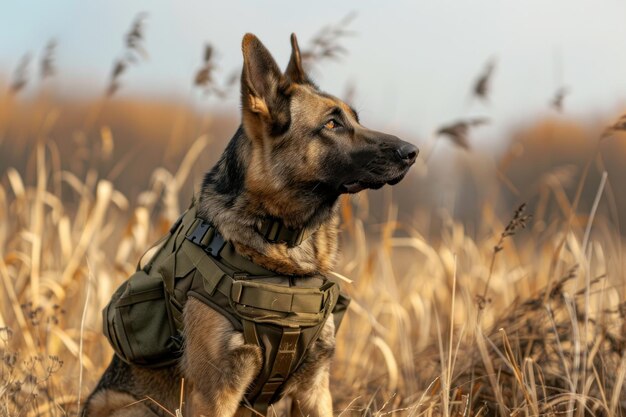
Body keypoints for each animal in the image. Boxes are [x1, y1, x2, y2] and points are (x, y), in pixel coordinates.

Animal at [81, 33, 414, 416]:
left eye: (356, 120)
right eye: (332, 124)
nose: (412, 152)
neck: (284, 242)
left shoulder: (315, 390)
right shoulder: (215, 394)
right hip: (134, 408)